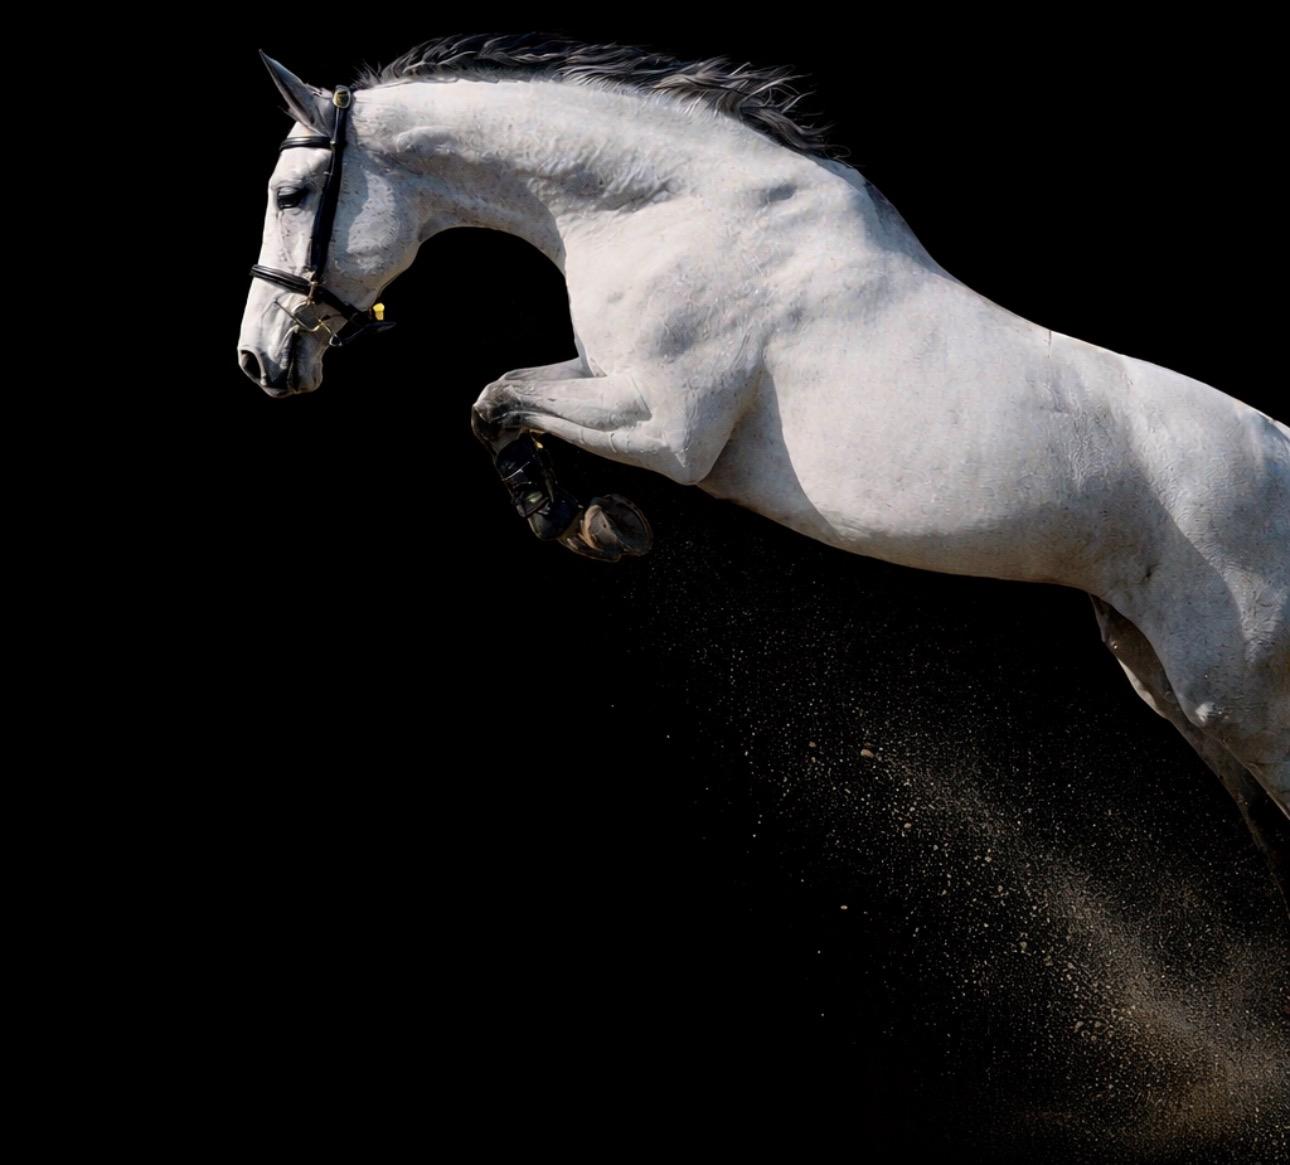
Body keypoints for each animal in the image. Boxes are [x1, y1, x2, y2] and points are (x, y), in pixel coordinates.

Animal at [237, 34, 1290, 909]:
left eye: (290, 197)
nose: (261, 361)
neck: (669, 210)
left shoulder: (663, 428)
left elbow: (496, 400)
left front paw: (596, 525)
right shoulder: (601, 377)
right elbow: (494, 399)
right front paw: (588, 520)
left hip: (1235, 699)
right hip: (1158, 676)